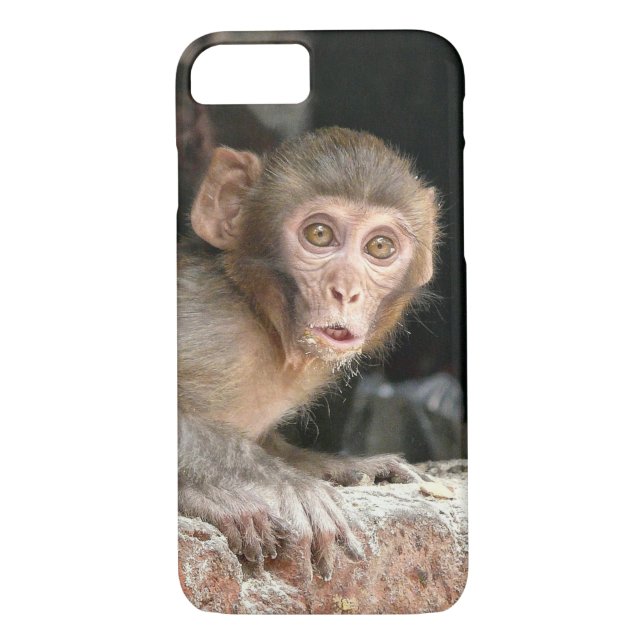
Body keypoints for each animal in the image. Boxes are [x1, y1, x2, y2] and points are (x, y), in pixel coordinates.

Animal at [178, 127, 440, 581]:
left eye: (380, 247)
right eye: (319, 235)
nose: (346, 290)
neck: (263, 320)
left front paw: (345, 467)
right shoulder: (210, 328)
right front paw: (285, 485)